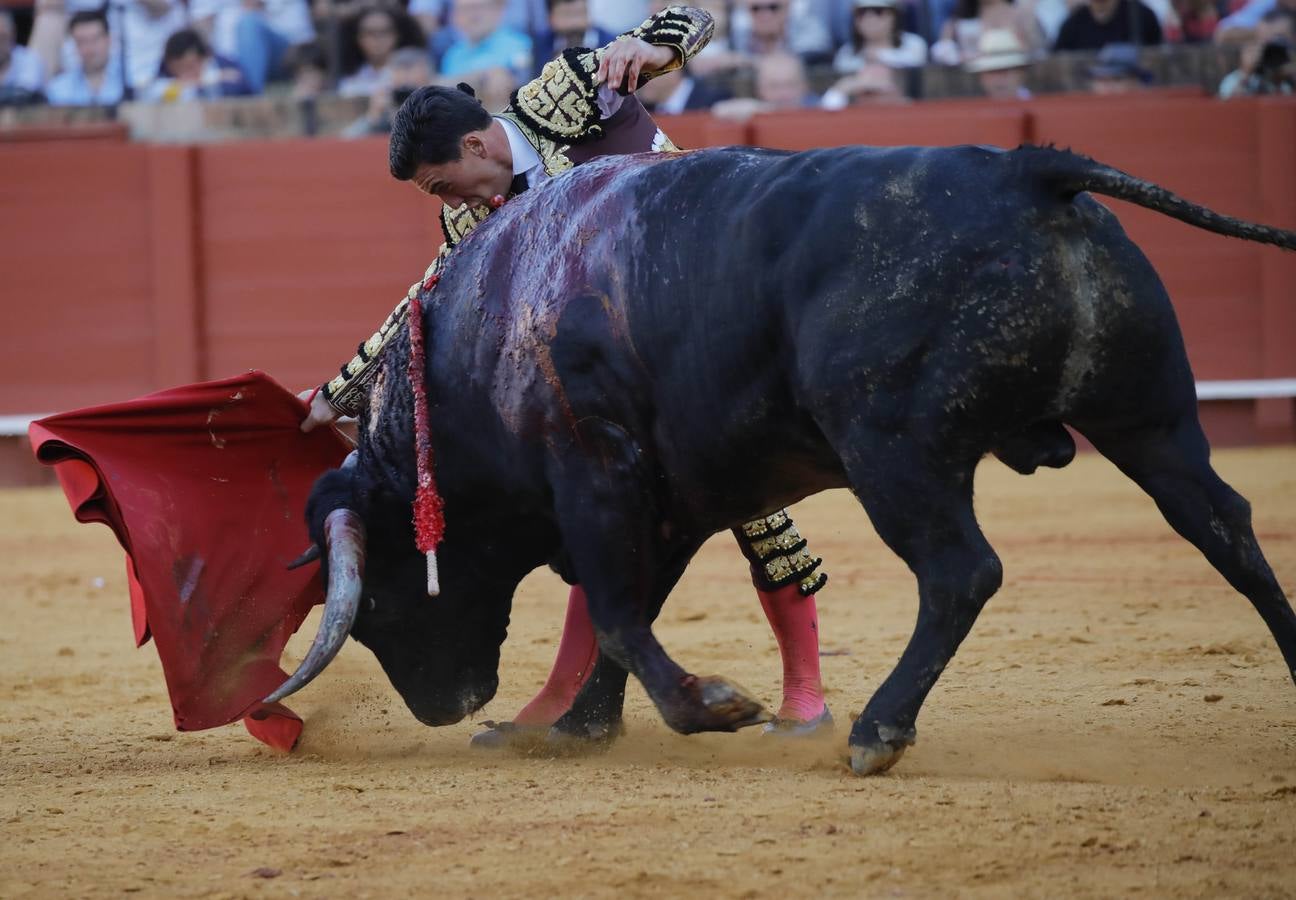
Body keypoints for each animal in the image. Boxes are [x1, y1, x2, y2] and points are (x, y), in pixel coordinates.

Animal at [265, 146, 1296, 778]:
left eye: (377, 600)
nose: (447, 705)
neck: (482, 334)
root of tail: (1028, 168)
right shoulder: (678, 494)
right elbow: (628, 611)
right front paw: (578, 730)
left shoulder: (594, 473)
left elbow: (617, 610)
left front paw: (711, 706)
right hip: (1150, 418)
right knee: (1226, 528)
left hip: (894, 452)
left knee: (961, 571)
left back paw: (877, 730)